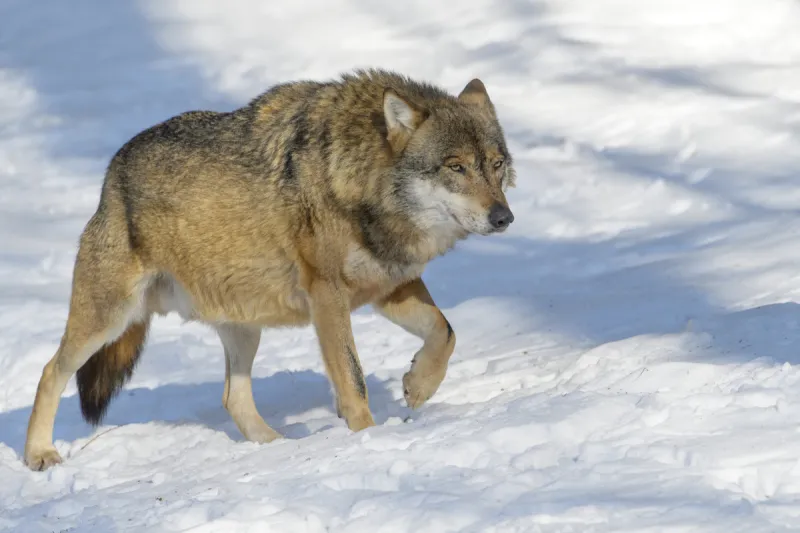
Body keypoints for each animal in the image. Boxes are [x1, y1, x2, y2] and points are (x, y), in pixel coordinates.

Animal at [25, 67, 516, 470]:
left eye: (496, 165)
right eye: (456, 167)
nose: (503, 218)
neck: (356, 179)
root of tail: (111, 174)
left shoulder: (388, 287)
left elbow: (445, 332)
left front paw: (419, 386)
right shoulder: (328, 296)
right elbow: (353, 381)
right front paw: (368, 438)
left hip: (244, 329)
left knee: (233, 397)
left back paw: (280, 447)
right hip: (109, 319)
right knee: (50, 371)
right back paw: (39, 454)